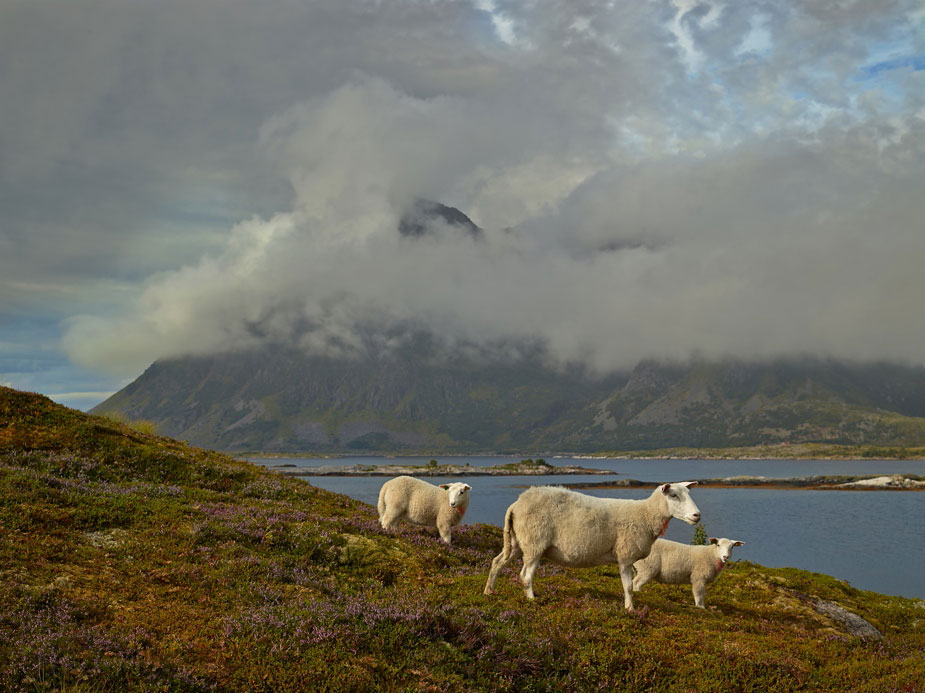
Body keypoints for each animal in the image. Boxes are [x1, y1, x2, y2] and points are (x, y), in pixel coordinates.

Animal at [480, 482, 696, 612]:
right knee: (525, 576)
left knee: (496, 562)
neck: (646, 515)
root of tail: (517, 503)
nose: (697, 515)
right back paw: (532, 600)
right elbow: (628, 586)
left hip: (518, 541)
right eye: (673, 495)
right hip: (535, 542)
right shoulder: (625, 555)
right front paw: (630, 609)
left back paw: (489, 591)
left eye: (687, 493)